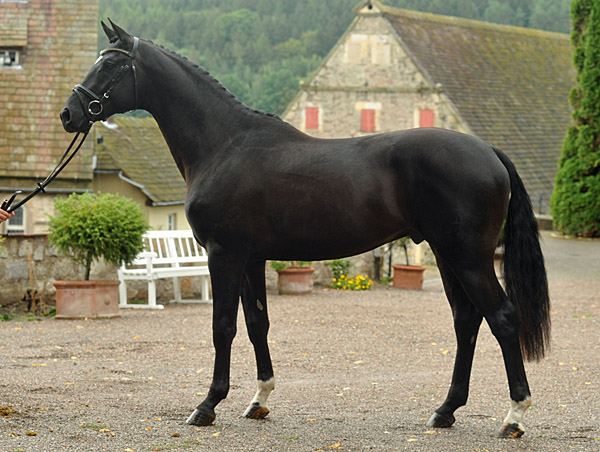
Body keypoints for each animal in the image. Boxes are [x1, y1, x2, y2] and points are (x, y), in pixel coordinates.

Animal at [61, 22, 548, 438]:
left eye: (110, 65)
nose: (70, 113)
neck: (224, 145)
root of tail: (488, 150)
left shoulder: (224, 254)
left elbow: (223, 326)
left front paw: (207, 405)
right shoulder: (251, 258)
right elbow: (257, 323)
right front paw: (259, 400)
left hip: (468, 258)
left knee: (503, 318)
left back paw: (514, 416)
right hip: (448, 257)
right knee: (466, 321)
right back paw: (445, 411)